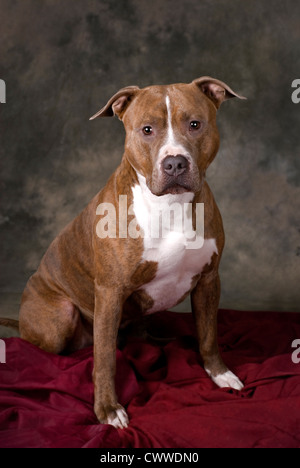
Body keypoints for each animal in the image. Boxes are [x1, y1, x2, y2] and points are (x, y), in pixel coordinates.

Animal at [0, 76, 246, 428]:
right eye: (147, 130)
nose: (175, 162)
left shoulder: (209, 279)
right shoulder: (109, 292)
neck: (169, 205)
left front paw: (219, 373)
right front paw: (107, 408)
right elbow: (104, 359)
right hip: (60, 317)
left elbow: (209, 333)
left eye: (195, 124)